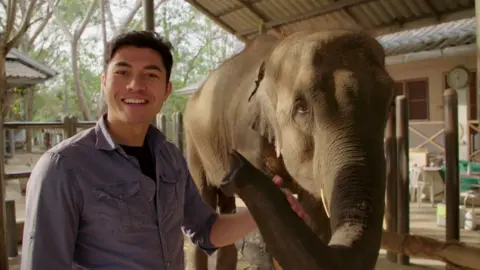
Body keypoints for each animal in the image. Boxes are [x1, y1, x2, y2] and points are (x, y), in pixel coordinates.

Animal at [182, 29, 396, 270]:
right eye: (302, 108)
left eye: (390, 104)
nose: (233, 163)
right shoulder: (247, 136)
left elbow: (314, 213)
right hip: (192, 140)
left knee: (226, 212)